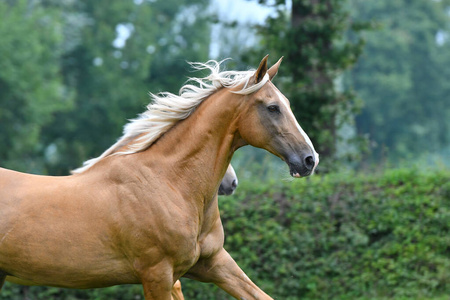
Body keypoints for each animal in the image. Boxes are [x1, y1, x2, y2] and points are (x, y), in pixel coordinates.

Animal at [0, 55, 316, 298]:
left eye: (287, 103)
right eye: (272, 107)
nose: (309, 159)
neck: (170, 183)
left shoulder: (215, 263)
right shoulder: (158, 274)